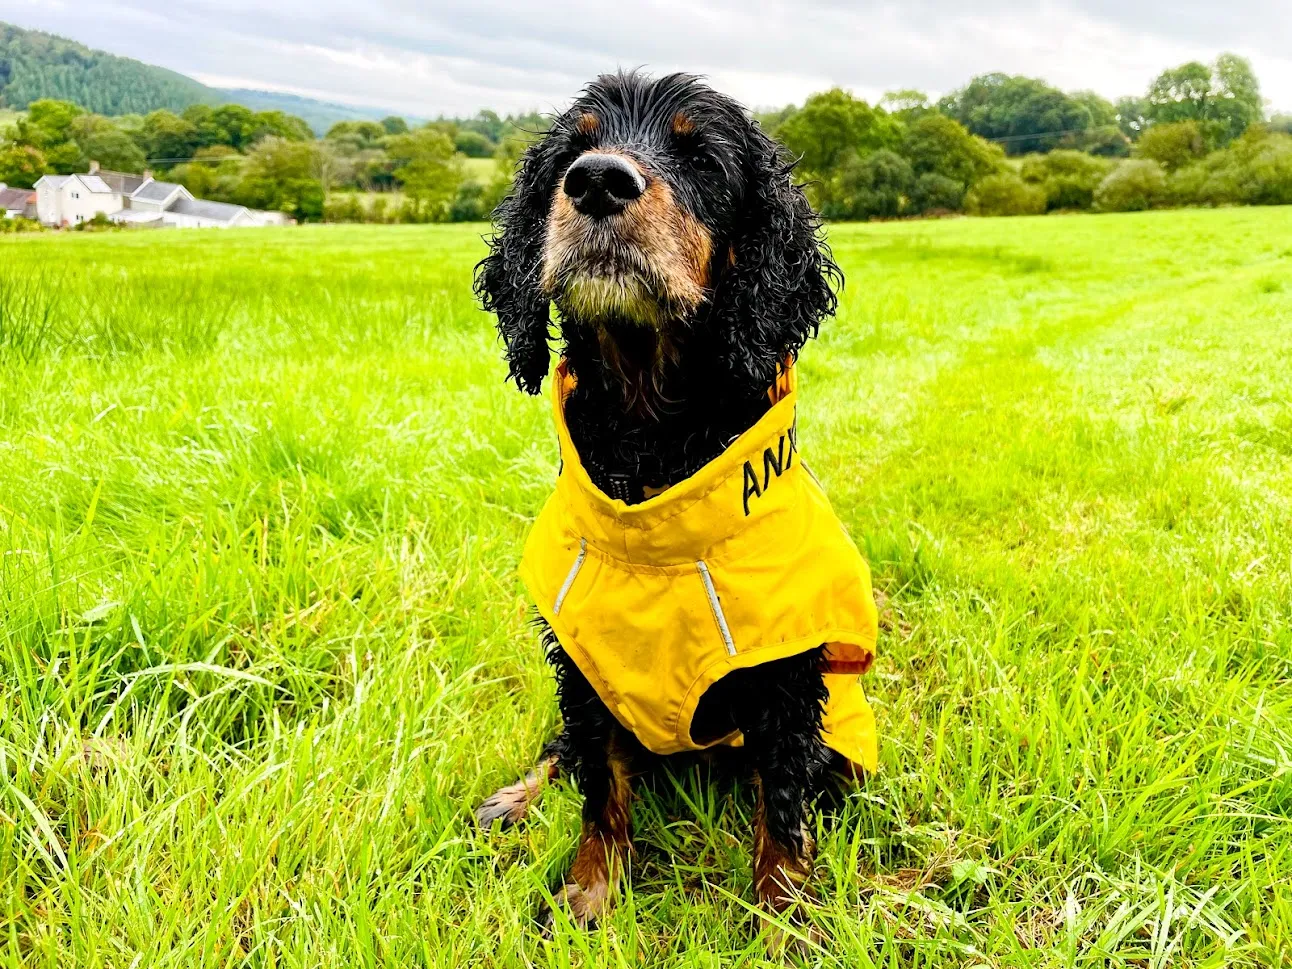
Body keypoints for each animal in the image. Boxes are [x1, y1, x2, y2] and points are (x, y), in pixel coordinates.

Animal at [472, 72, 878, 935]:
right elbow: (597, 782)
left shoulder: (786, 675)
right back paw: (515, 797)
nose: (596, 180)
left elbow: (781, 796)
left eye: (702, 159)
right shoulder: (582, 663)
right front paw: (591, 895)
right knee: (561, 751)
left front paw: (781, 910)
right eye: (572, 148)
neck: (650, 438)